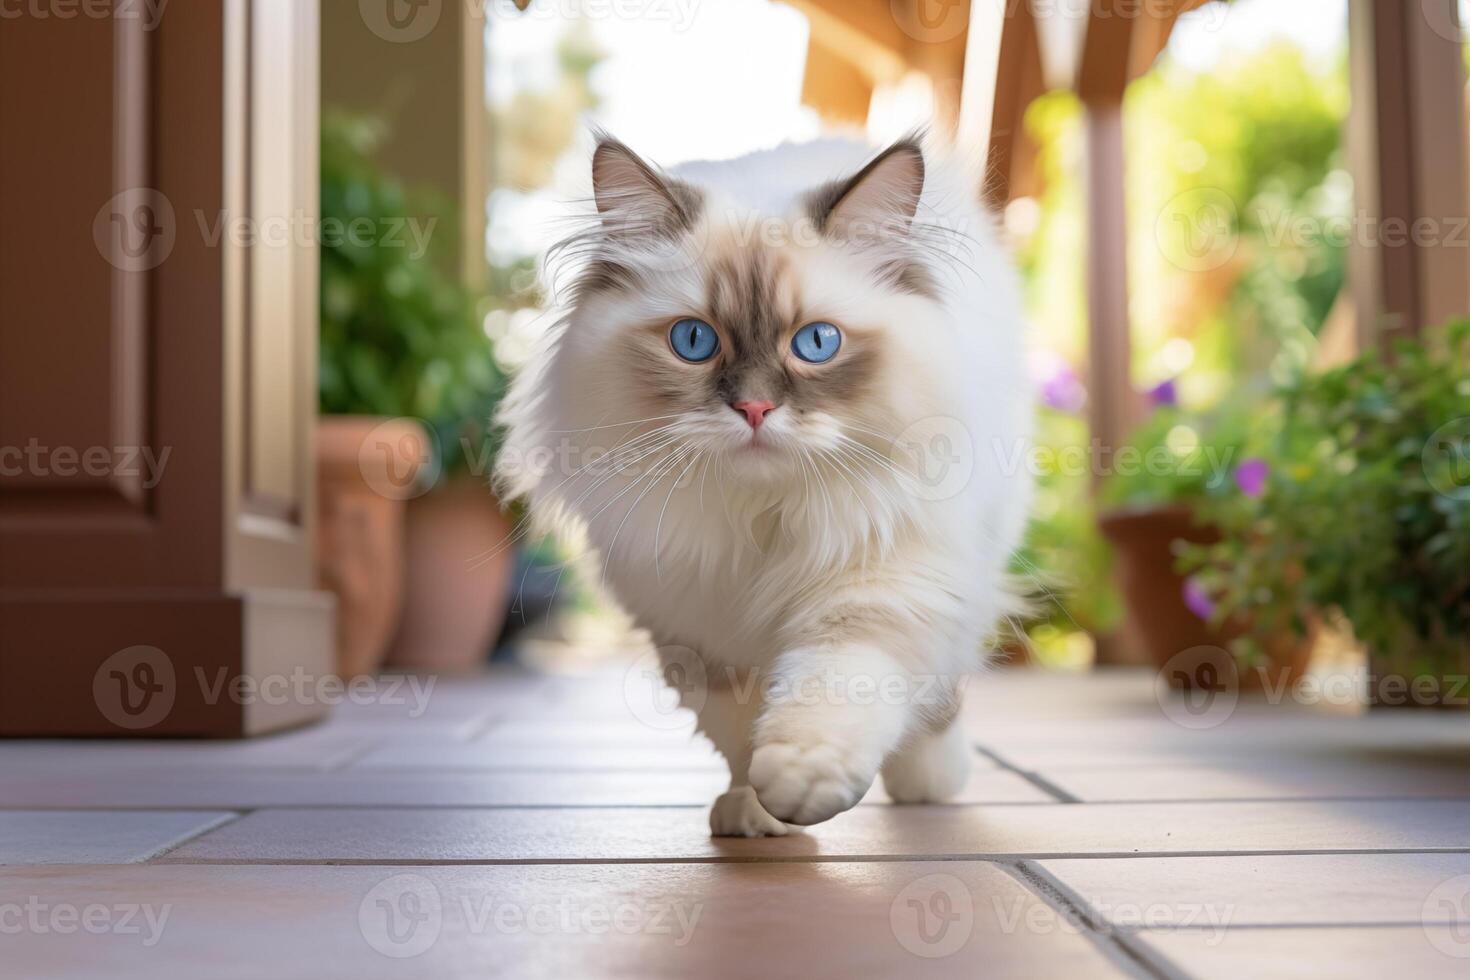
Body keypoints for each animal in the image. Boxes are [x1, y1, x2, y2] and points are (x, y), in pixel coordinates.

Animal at [499, 130, 1040, 834]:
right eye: (693, 341)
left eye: (816, 343)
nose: (754, 409)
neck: (760, 513)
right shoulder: (699, 625)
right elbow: (739, 728)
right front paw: (758, 814)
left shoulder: (877, 587)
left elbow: (831, 695)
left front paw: (801, 787)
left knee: (943, 688)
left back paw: (929, 783)